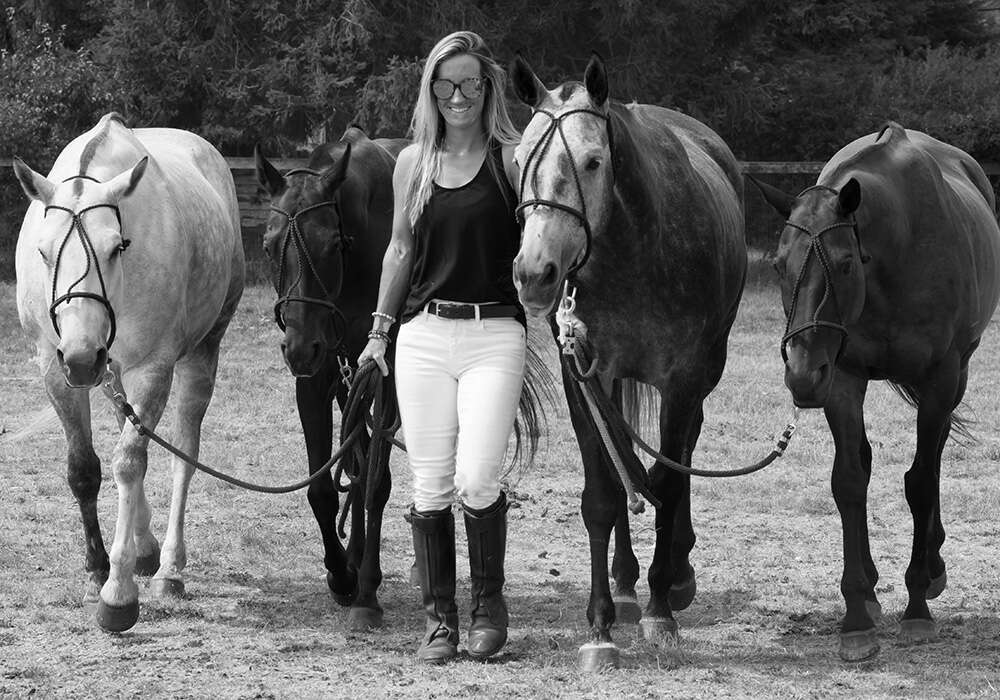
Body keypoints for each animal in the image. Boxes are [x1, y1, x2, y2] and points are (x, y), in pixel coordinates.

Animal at [13, 113, 246, 628]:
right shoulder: (56, 369)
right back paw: (144, 548)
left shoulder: (152, 368)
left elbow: (129, 463)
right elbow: (85, 468)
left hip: (201, 353)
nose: (82, 357)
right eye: (42, 251)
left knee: (183, 454)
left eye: (118, 247)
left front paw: (118, 593)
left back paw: (169, 569)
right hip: (108, 373)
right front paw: (97, 572)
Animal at [256, 126, 408, 628]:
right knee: (354, 464)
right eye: (268, 245)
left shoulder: (384, 380)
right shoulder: (318, 379)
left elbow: (376, 482)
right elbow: (324, 487)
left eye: (331, 245)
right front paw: (341, 574)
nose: (300, 348)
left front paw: (365, 589)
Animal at [512, 54, 748, 668]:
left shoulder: (683, 383)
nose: (534, 273)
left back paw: (676, 575)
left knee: (680, 460)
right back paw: (622, 582)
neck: (634, 254)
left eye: (593, 162)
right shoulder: (585, 375)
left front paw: (661, 608)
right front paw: (600, 626)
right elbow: (603, 493)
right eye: (519, 160)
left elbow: (669, 482)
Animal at [756, 121, 1000, 660]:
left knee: (933, 461)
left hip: (958, 374)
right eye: (779, 264)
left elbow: (921, 482)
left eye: (846, 263)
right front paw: (856, 615)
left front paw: (917, 607)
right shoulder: (842, 377)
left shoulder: (939, 378)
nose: (801, 374)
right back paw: (870, 587)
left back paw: (932, 565)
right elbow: (849, 480)